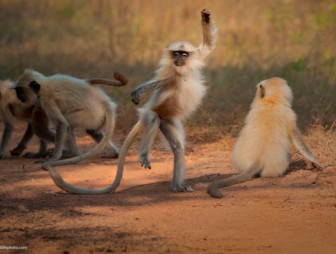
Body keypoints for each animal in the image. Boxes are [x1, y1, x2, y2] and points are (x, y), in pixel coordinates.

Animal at [45, 8, 218, 194]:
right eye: (176, 54)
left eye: (183, 54)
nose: (178, 59)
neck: (182, 70)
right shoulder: (169, 72)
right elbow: (155, 83)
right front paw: (139, 90)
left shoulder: (191, 59)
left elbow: (208, 46)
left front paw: (206, 16)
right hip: (152, 113)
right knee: (153, 119)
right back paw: (144, 155)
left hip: (168, 121)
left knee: (178, 148)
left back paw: (177, 186)